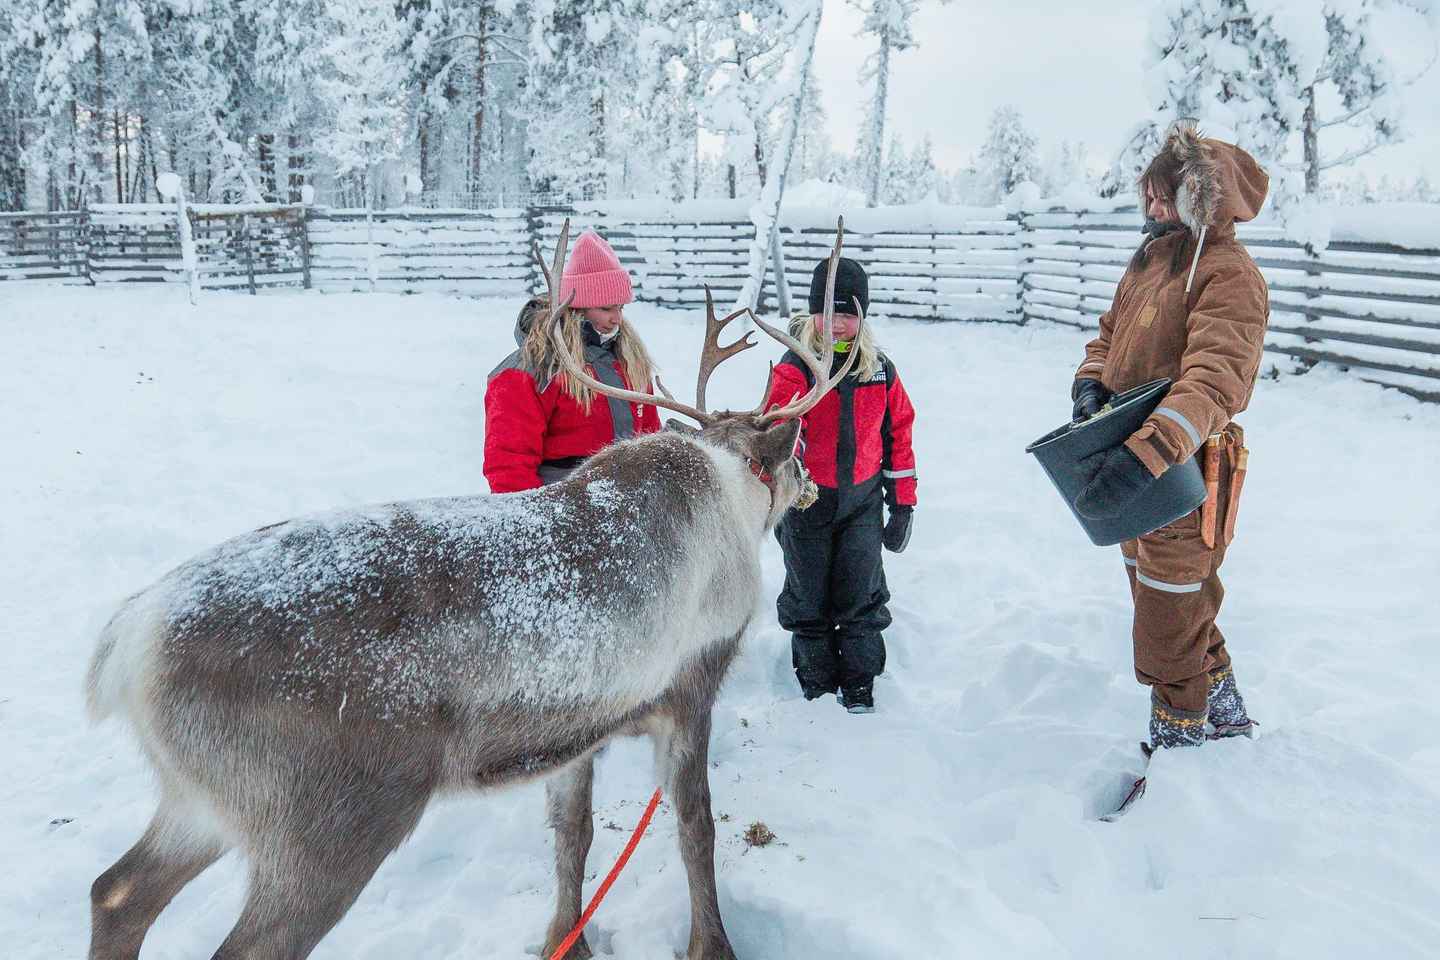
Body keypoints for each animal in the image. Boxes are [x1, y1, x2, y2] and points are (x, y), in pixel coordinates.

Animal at [84, 219, 862, 960]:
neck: (733, 496)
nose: (811, 484)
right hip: (330, 815)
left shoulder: (578, 729)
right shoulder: (690, 686)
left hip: (203, 800)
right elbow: (696, 830)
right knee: (240, 940)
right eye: (795, 455)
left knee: (115, 892)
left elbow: (572, 829)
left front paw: (565, 940)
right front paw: (714, 946)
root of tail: (129, 647)